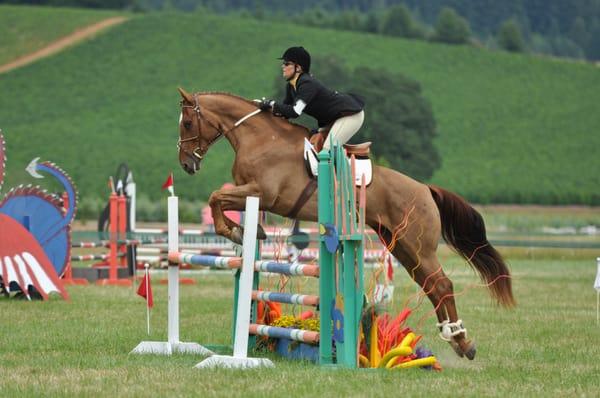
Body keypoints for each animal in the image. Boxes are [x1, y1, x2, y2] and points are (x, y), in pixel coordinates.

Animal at [176, 88, 512, 360]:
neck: (259, 138)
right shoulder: (251, 193)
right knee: (431, 284)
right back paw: (457, 340)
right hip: (402, 245)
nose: (186, 165)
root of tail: (425, 189)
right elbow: (218, 199)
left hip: (417, 245)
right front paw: (247, 231)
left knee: (441, 283)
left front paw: (237, 231)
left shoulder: (263, 193)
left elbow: (215, 197)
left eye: (187, 123)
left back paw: (461, 340)